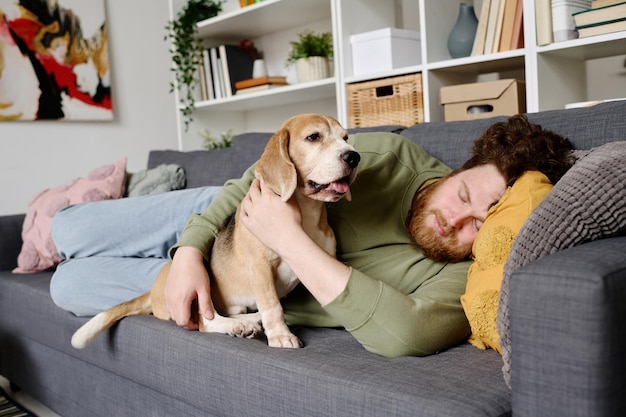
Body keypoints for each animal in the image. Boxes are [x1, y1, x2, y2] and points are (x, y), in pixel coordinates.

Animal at [70, 113, 358, 348]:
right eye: (313, 137)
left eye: (345, 138)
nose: (353, 157)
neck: (307, 214)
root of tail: (154, 289)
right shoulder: (260, 266)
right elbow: (273, 306)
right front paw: (280, 335)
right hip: (200, 284)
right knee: (205, 322)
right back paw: (239, 326)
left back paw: (250, 320)